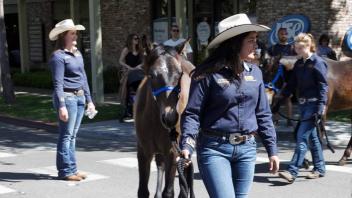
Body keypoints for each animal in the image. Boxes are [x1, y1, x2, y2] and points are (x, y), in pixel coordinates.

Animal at [135, 42, 195, 197]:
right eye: (151, 75)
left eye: (180, 74)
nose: (170, 118)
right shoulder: (143, 152)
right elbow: (143, 191)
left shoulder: (172, 153)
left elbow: (168, 192)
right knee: (160, 165)